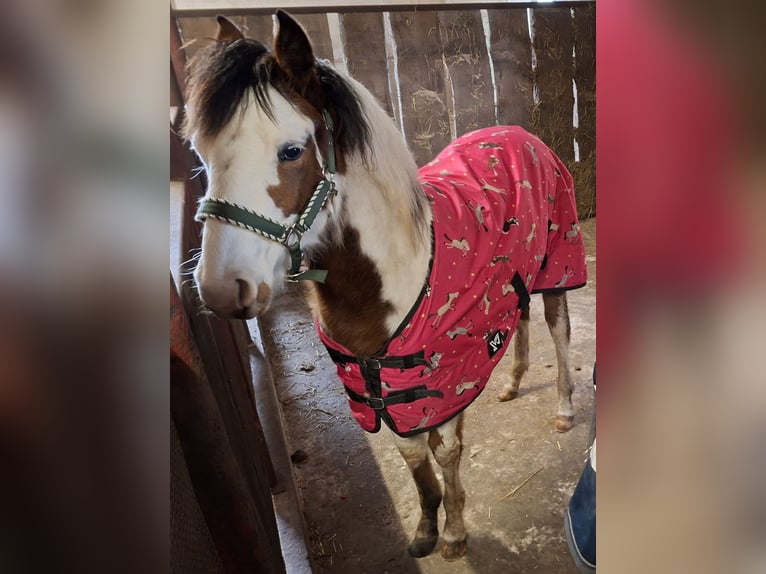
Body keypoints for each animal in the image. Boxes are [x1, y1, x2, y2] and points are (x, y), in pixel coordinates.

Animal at [185, 11, 587, 561]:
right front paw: (425, 526)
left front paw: (455, 534)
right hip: (516, 275)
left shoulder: (441, 381)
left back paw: (565, 408)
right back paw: (510, 382)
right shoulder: (383, 395)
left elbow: (446, 451)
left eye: (291, 150)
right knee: (521, 316)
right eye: (201, 152)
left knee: (559, 330)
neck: (390, 279)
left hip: (557, 266)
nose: (221, 289)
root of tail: (521, 133)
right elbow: (412, 455)